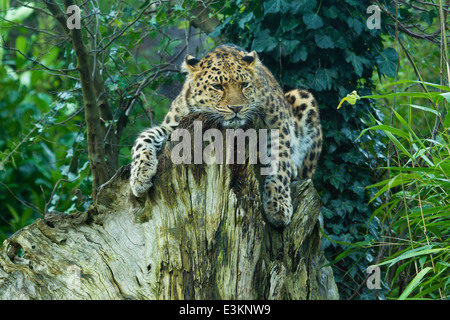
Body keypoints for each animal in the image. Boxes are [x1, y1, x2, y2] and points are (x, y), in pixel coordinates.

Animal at [128, 43, 322, 229]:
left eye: (244, 85)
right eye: (217, 87)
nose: (236, 108)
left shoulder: (279, 126)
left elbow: (280, 163)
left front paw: (279, 206)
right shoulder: (174, 125)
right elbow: (145, 137)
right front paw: (140, 177)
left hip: (303, 98)